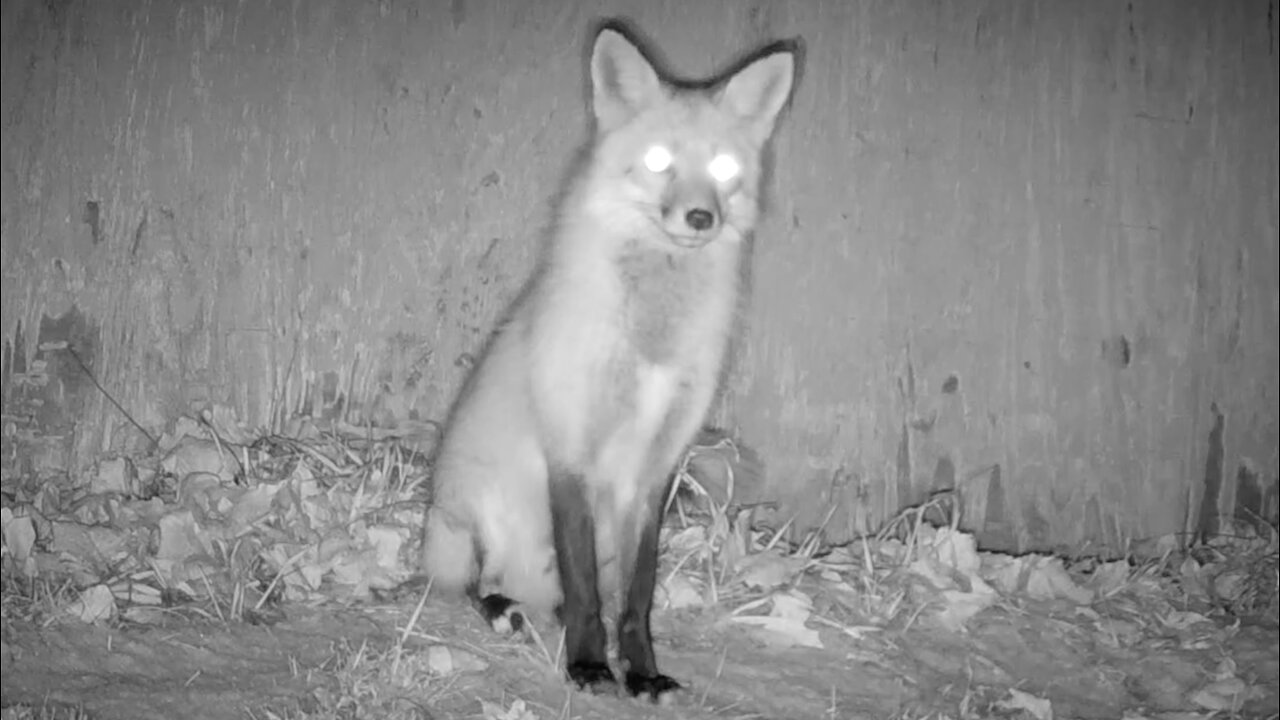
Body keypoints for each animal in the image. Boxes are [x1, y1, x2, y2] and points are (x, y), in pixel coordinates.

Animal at [421, 20, 798, 702]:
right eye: (658, 161)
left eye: (724, 167)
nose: (700, 217)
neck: (650, 341)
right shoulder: (570, 452)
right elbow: (589, 593)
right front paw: (590, 665)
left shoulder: (651, 470)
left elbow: (633, 597)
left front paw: (641, 671)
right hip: (462, 523)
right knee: (474, 582)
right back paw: (504, 610)